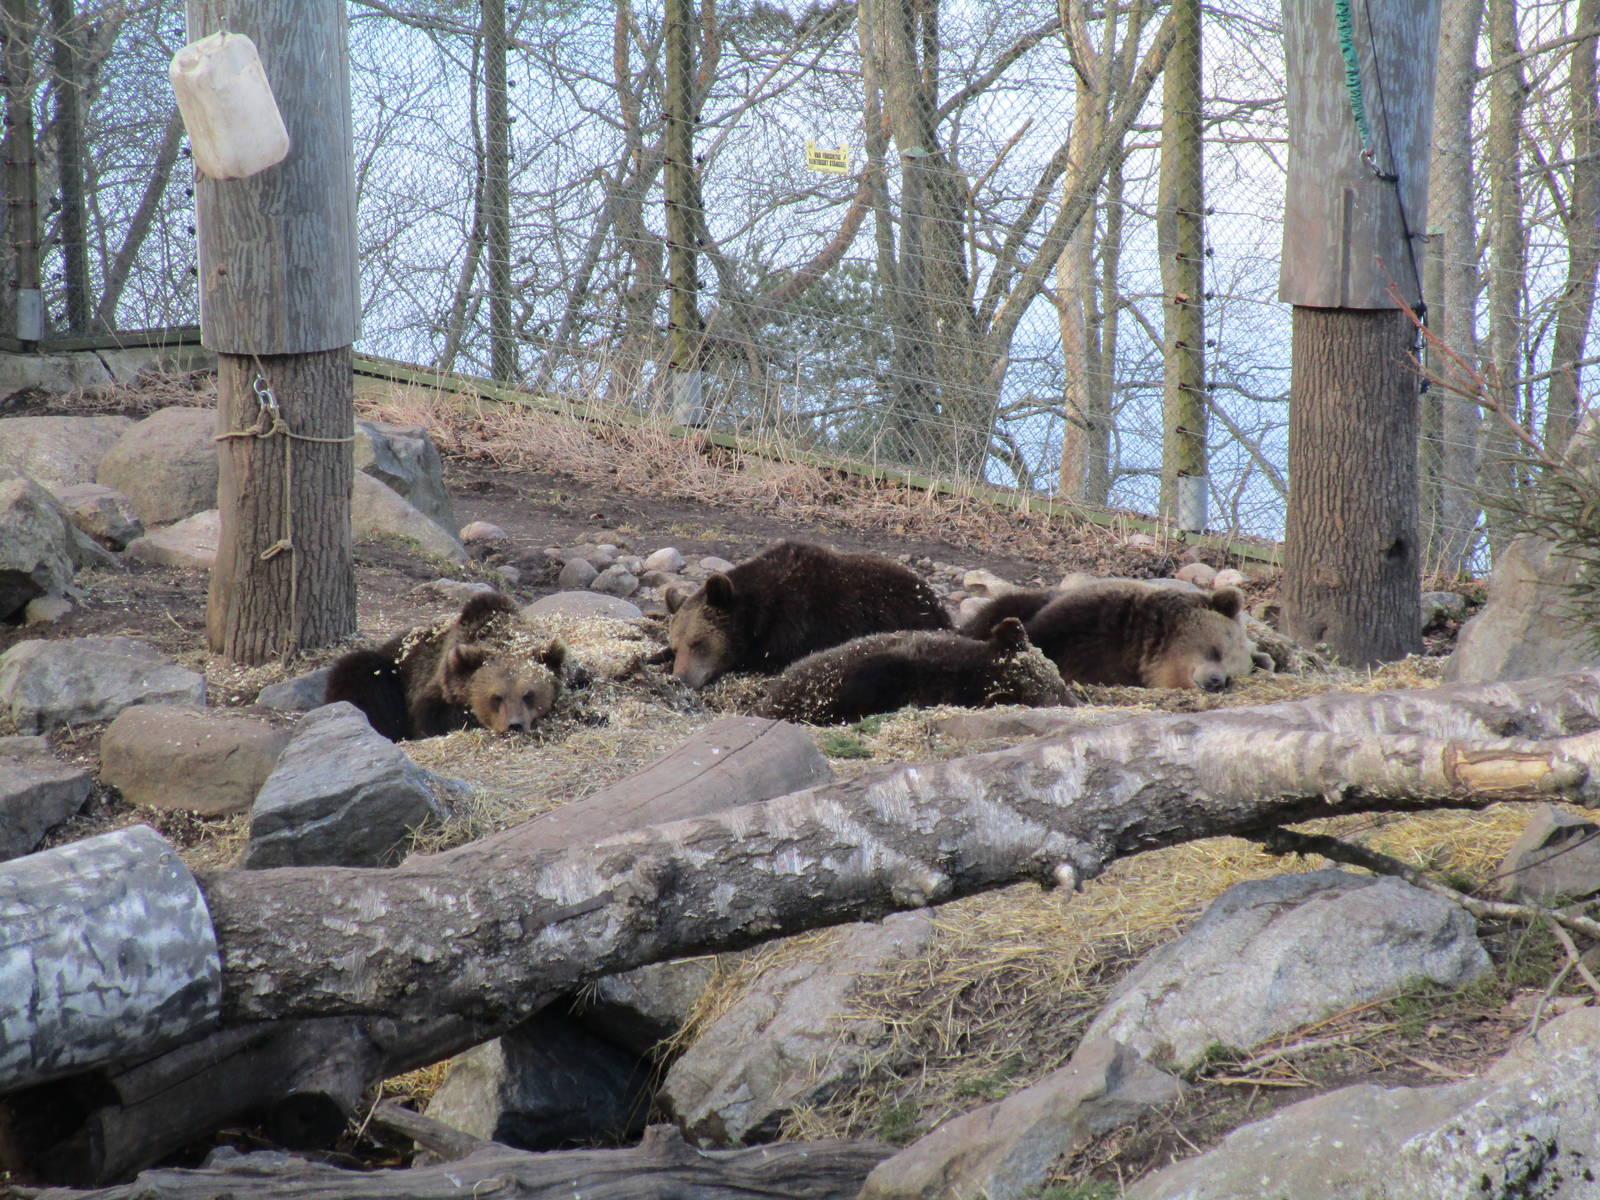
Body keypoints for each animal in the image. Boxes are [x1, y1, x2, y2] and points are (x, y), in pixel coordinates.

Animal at [325, 591, 567, 741]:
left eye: (529, 694)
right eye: (496, 697)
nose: (513, 725)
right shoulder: (435, 684)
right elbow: (434, 720)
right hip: (385, 669)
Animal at [655, 540, 952, 688]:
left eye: (698, 643)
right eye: (677, 645)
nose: (680, 678)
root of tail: (934, 598)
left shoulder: (799, 625)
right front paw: (656, 655)